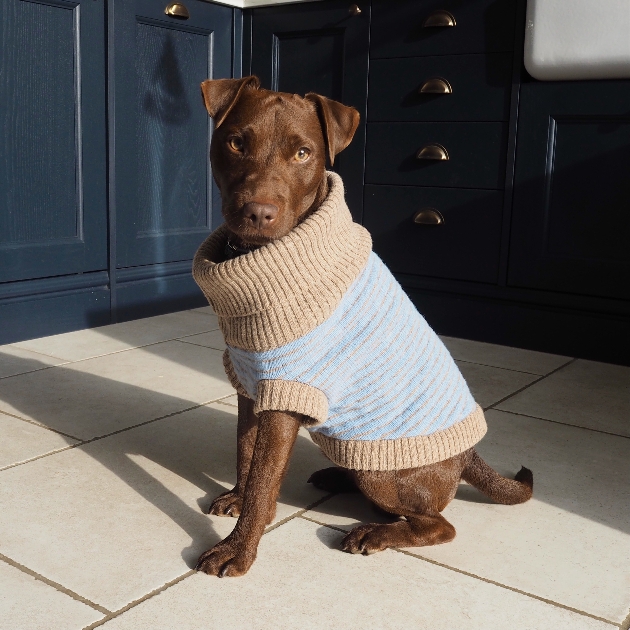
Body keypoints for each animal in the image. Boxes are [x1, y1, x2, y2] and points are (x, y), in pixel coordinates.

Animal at [194, 76, 532, 580]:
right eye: (236, 142)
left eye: (303, 153)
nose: (258, 212)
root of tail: (467, 455)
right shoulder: (250, 383)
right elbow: (246, 453)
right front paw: (238, 498)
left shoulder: (287, 393)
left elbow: (263, 480)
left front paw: (238, 548)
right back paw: (336, 477)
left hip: (384, 473)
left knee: (437, 524)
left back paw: (376, 534)